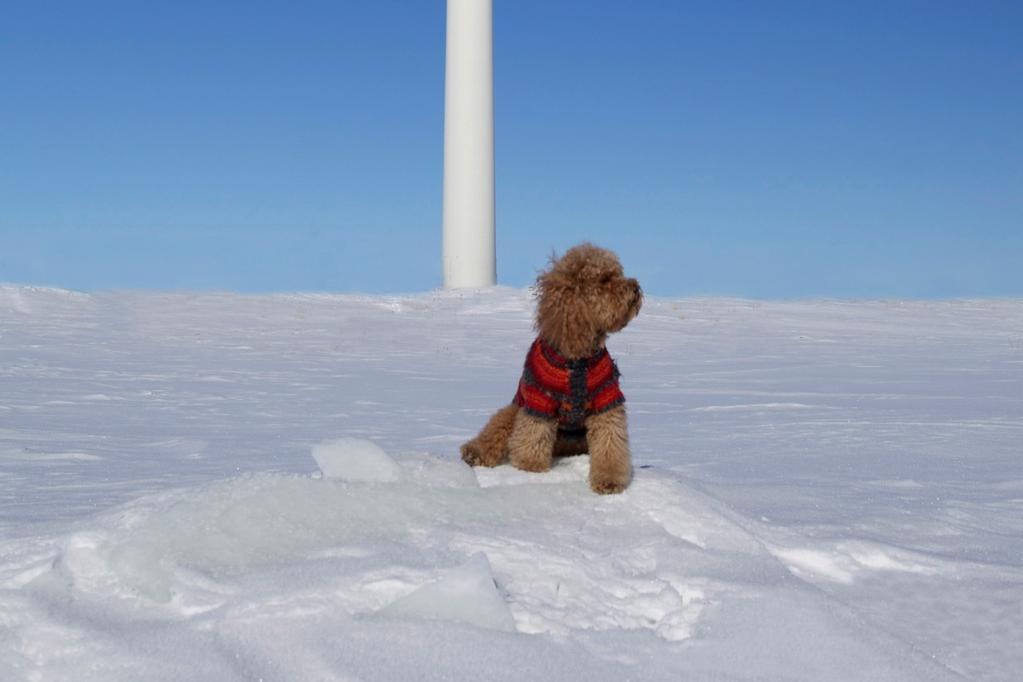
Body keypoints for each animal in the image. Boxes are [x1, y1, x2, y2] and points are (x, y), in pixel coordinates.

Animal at [462, 245, 642, 496]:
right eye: (605, 279)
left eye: (618, 273)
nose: (636, 286)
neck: (577, 358)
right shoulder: (539, 400)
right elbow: (533, 436)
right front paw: (531, 468)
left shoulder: (606, 400)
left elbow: (610, 443)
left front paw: (609, 480)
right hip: (513, 410)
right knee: (494, 432)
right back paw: (474, 453)